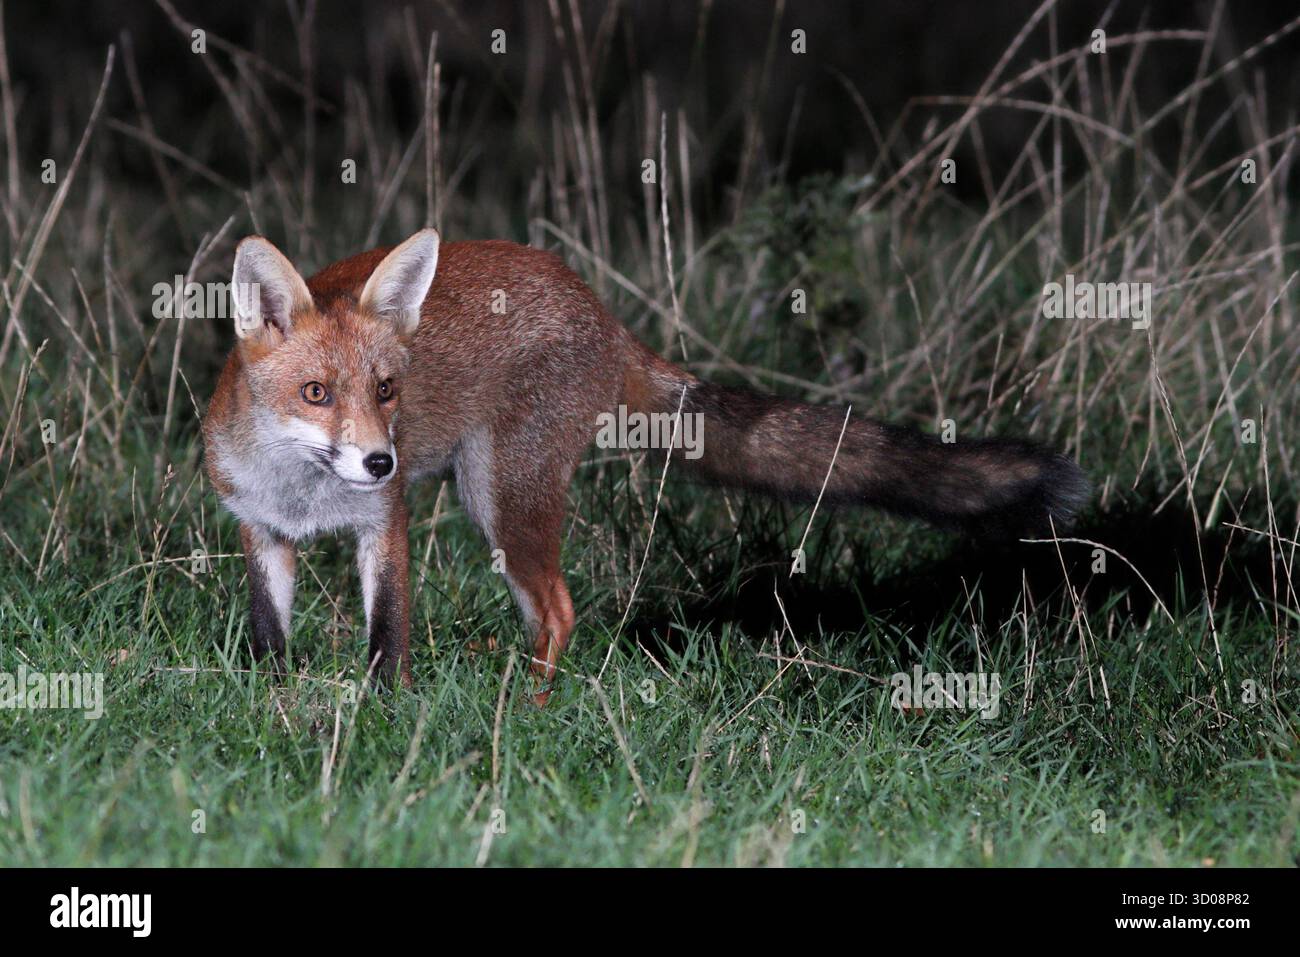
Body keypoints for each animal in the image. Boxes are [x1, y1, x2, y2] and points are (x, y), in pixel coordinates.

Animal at [203, 228, 1088, 703]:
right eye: (317, 393)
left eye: (387, 390)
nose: (383, 458)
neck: (306, 495)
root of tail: (600, 310)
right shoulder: (258, 527)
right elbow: (270, 634)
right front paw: (274, 701)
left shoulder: (382, 523)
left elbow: (388, 639)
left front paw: (383, 714)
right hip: (494, 501)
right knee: (543, 614)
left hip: (500, 495)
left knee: (560, 611)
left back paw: (527, 707)